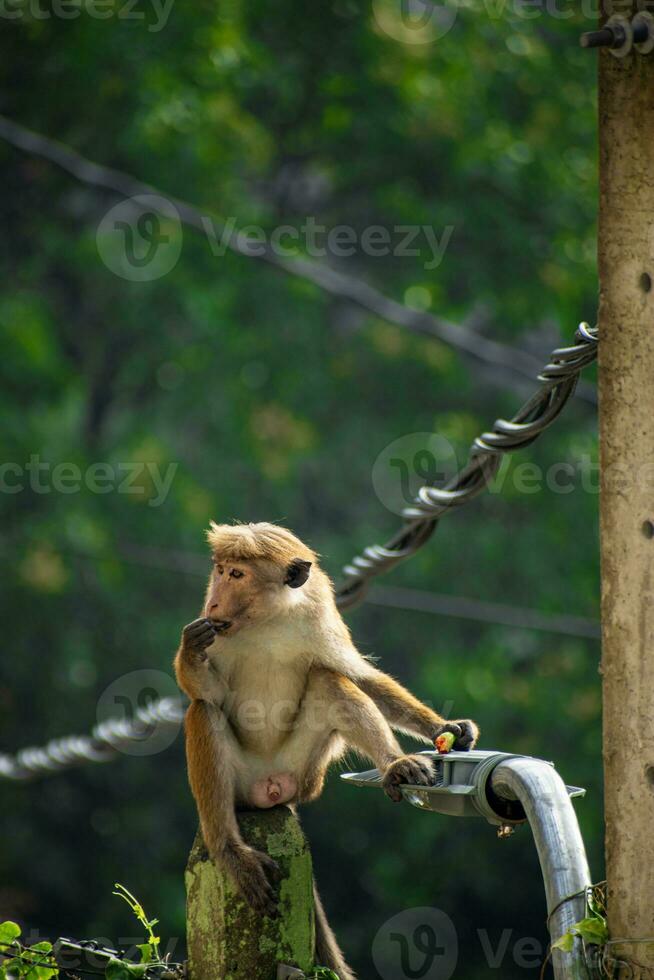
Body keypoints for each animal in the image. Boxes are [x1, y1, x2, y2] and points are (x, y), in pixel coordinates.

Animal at [177, 524, 480, 976]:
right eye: (220, 570)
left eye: (237, 575)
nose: (214, 600)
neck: (268, 618)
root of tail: (269, 789)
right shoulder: (218, 632)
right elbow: (208, 692)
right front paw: (190, 649)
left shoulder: (319, 611)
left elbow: (359, 676)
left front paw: (443, 728)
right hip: (242, 780)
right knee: (205, 712)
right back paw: (230, 851)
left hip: (305, 772)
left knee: (328, 681)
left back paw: (396, 765)